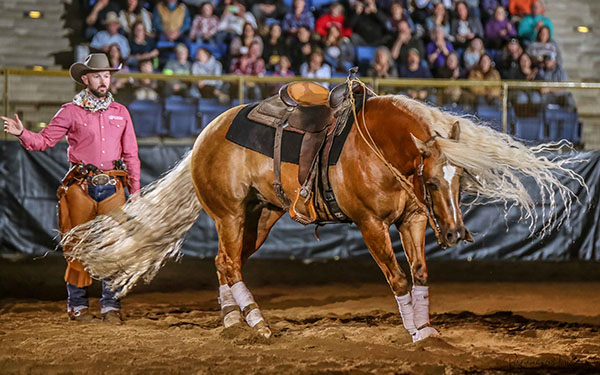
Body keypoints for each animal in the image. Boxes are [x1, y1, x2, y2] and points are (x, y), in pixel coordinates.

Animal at [63, 92, 584, 344]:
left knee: (224, 264)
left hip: (261, 217)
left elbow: (418, 274)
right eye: (434, 182)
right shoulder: (371, 225)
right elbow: (397, 278)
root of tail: (205, 135)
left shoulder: (412, 223)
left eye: (462, 182)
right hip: (230, 214)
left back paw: (232, 321)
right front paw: (415, 333)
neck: (377, 149)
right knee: (228, 263)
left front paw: (429, 330)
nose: (456, 233)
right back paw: (258, 325)